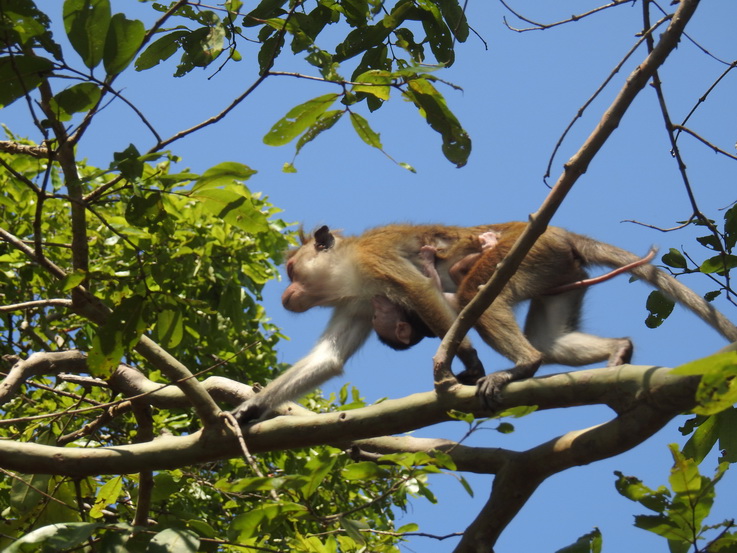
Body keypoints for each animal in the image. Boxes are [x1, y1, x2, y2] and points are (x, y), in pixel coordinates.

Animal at [231, 222, 737, 420]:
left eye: (292, 269)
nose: (285, 293)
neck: (348, 270)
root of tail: (561, 233)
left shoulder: (375, 264)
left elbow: (422, 291)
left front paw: (468, 361)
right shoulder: (359, 301)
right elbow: (329, 358)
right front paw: (250, 409)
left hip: (526, 253)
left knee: (476, 293)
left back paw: (523, 364)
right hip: (560, 273)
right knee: (549, 338)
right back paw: (617, 351)